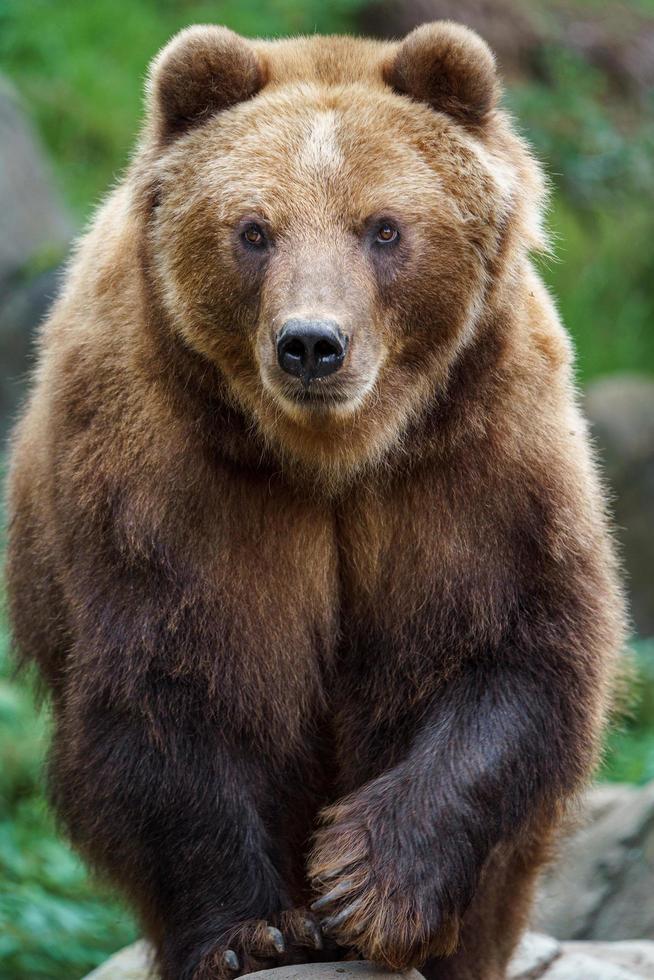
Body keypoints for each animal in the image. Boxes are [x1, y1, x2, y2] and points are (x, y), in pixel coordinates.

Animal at [5, 21, 624, 980]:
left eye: (384, 228)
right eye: (254, 229)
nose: (310, 345)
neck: (332, 454)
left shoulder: (475, 457)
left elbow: (508, 645)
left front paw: (367, 884)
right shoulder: (161, 470)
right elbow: (173, 682)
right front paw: (253, 929)